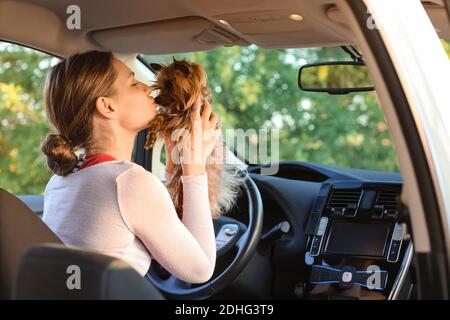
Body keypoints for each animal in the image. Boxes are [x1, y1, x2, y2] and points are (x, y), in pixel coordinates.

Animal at [144, 58, 244, 220]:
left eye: (170, 85)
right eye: (159, 86)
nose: (156, 99)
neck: (181, 106)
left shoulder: (185, 122)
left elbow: (167, 118)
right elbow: (162, 118)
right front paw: (151, 136)